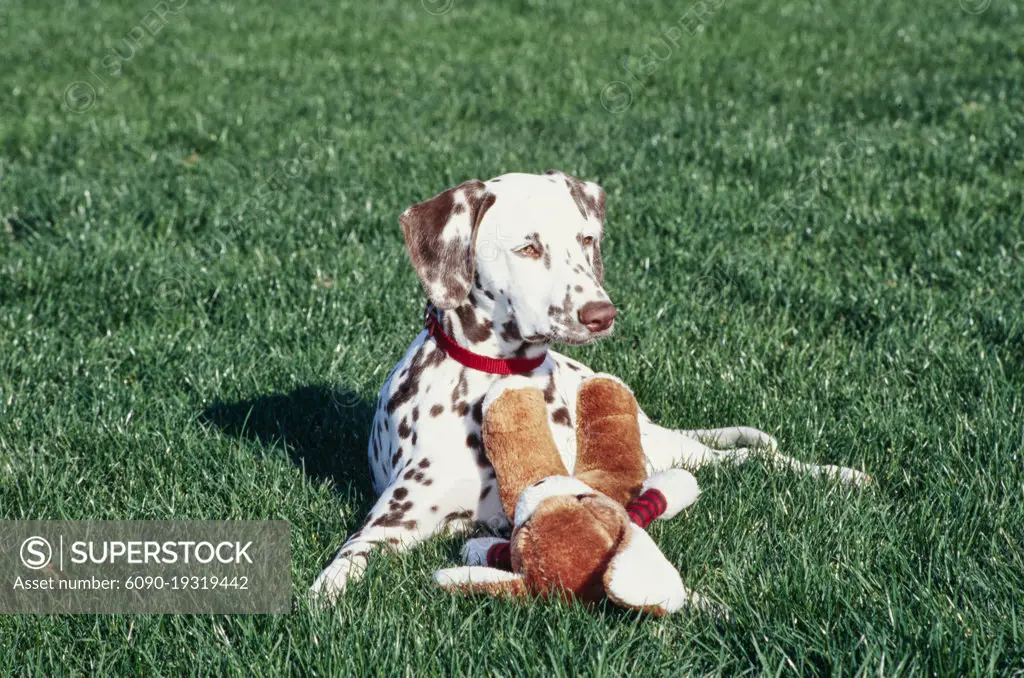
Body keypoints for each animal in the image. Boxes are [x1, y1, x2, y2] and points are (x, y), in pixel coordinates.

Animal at [309, 173, 864, 602]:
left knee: (745, 457)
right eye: (528, 247)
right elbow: (349, 556)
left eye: (586, 240)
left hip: (663, 450)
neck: (499, 387)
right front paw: (325, 593)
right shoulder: (391, 522)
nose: (602, 313)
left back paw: (838, 474)